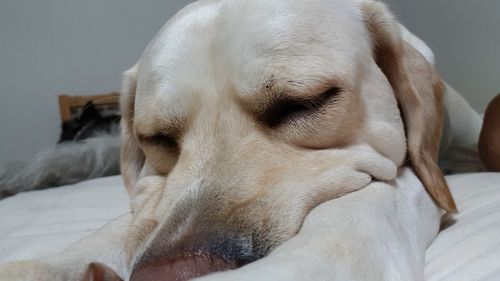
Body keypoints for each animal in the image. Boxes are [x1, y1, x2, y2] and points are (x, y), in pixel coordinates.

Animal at [1, 0, 474, 278]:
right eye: (155, 138)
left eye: (304, 103)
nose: (175, 272)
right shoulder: (152, 197)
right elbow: (126, 224)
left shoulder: (406, 174)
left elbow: (370, 201)